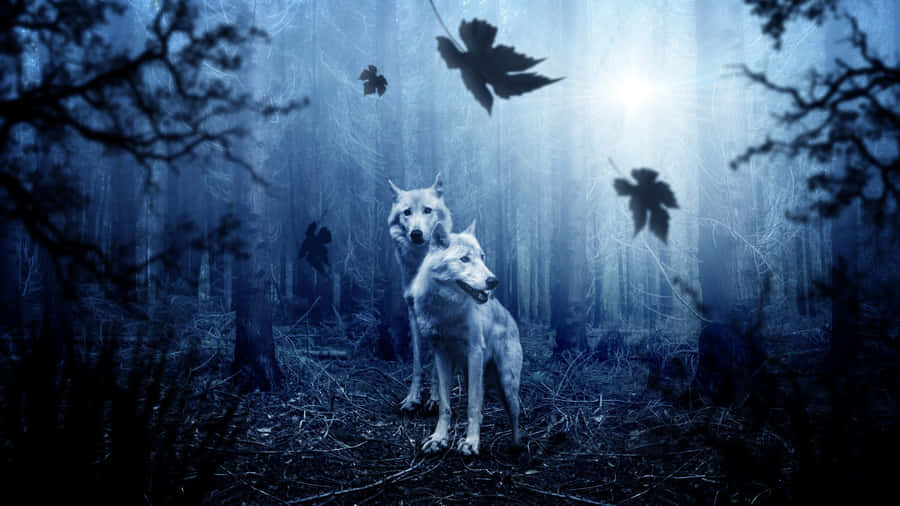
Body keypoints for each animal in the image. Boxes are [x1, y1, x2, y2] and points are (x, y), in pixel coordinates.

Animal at [388, 173, 453, 412]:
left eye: (427, 210)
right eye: (407, 212)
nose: (416, 233)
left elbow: (436, 364)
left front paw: (435, 398)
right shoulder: (413, 314)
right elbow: (417, 361)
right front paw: (412, 398)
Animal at [410, 221, 522, 455]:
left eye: (482, 256)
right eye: (464, 259)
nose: (493, 281)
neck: (446, 311)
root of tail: (511, 319)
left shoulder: (474, 353)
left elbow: (472, 406)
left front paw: (471, 443)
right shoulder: (441, 355)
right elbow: (445, 405)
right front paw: (439, 439)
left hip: (506, 382)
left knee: (514, 414)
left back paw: (516, 447)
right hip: (473, 374)